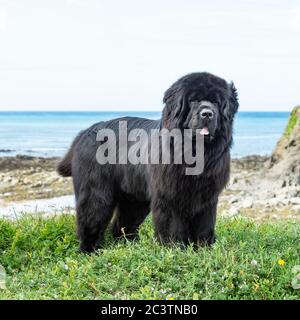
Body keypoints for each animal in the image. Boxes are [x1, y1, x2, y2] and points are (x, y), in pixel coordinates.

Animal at [57, 72, 238, 252]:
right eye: (194, 100)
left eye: (216, 102)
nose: (207, 113)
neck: (194, 151)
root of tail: (84, 132)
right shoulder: (169, 196)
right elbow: (172, 226)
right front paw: (174, 249)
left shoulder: (206, 197)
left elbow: (205, 225)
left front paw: (204, 248)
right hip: (97, 191)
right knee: (91, 217)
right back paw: (89, 250)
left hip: (134, 197)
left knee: (122, 223)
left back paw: (129, 246)